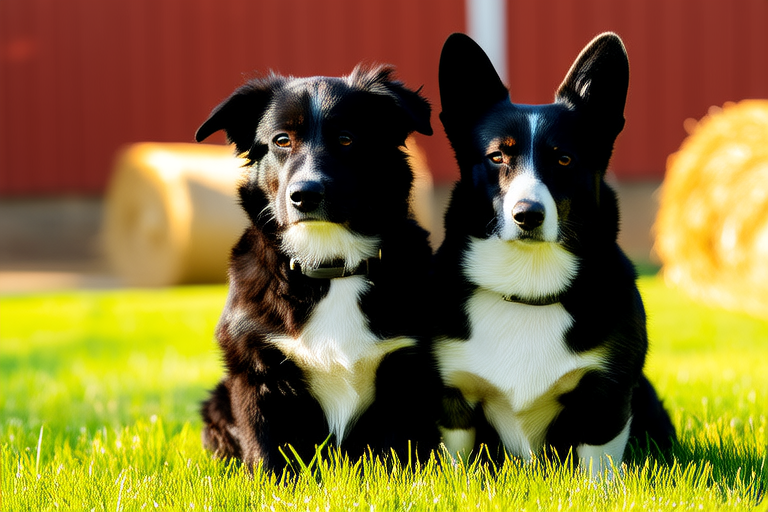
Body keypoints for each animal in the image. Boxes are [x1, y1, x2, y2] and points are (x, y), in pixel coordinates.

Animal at [194, 65, 441, 472]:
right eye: (282, 140)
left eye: (346, 139)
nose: (304, 195)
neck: (329, 265)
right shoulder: (255, 371)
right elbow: (266, 456)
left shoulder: (404, 369)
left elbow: (393, 457)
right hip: (218, 399)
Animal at [431, 32, 675, 477]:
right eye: (497, 157)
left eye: (564, 159)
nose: (528, 215)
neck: (528, 285)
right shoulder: (452, 393)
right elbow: (457, 460)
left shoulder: (606, 393)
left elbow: (598, 465)